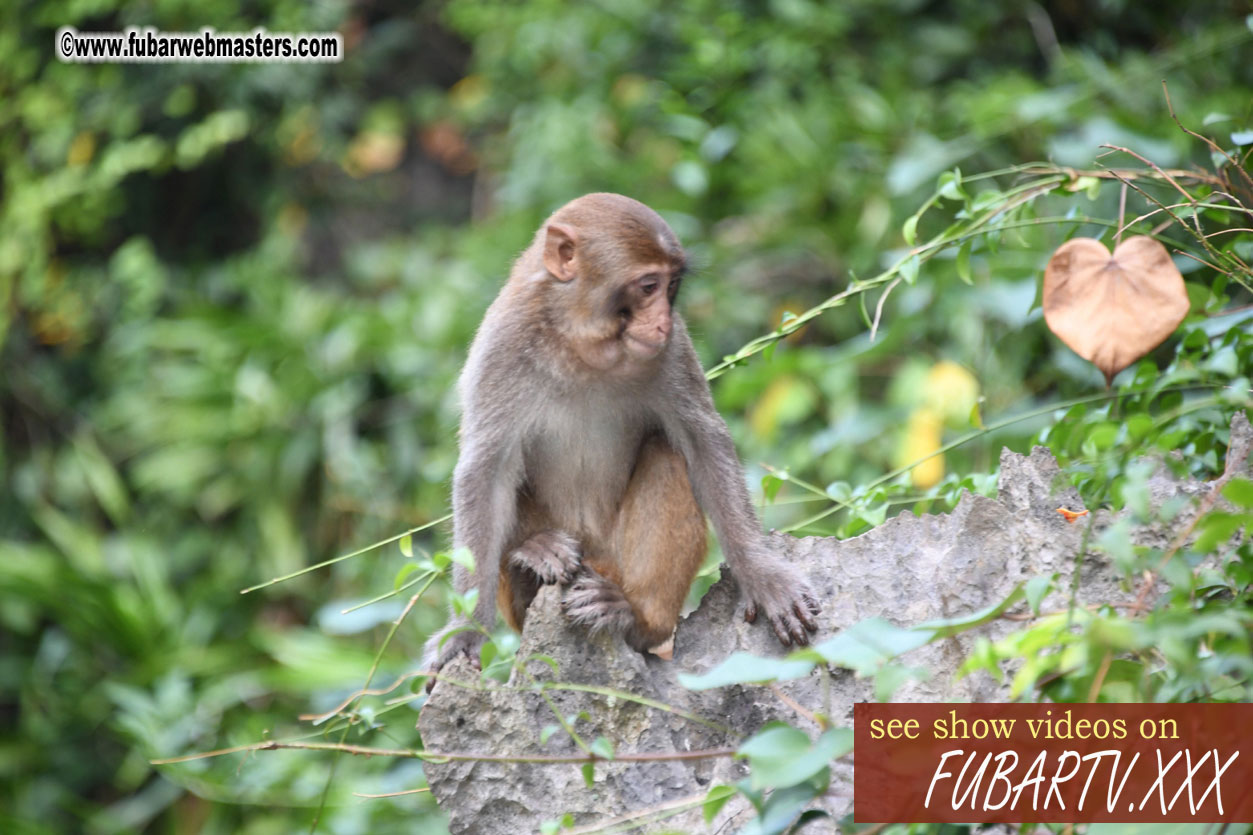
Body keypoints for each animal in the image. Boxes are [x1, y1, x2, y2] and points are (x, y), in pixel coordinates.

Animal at [423, 191, 821, 682]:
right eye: (648, 286)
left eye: (672, 286)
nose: (664, 320)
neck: (580, 345)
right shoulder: (500, 349)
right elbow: (483, 473)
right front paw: (465, 633)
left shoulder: (671, 352)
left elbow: (702, 440)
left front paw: (762, 574)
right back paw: (533, 553)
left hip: (614, 564)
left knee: (667, 452)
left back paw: (634, 618)